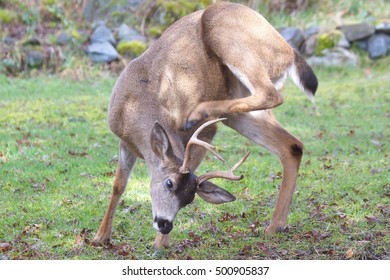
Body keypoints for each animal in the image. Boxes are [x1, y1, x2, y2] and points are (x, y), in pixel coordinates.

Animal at [93, 1, 318, 248]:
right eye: (169, 184)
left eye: (190, 198)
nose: (165, 224)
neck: (135, 107)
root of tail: (288, 51)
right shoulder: (125, 142)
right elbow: (118, 185)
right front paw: (100, 237)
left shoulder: (205, 133)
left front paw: (159, 245)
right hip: (238, 109)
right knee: (292, 145)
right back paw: (274, 226)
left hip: (222, 31)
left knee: (271, 95)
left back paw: (198, 111)